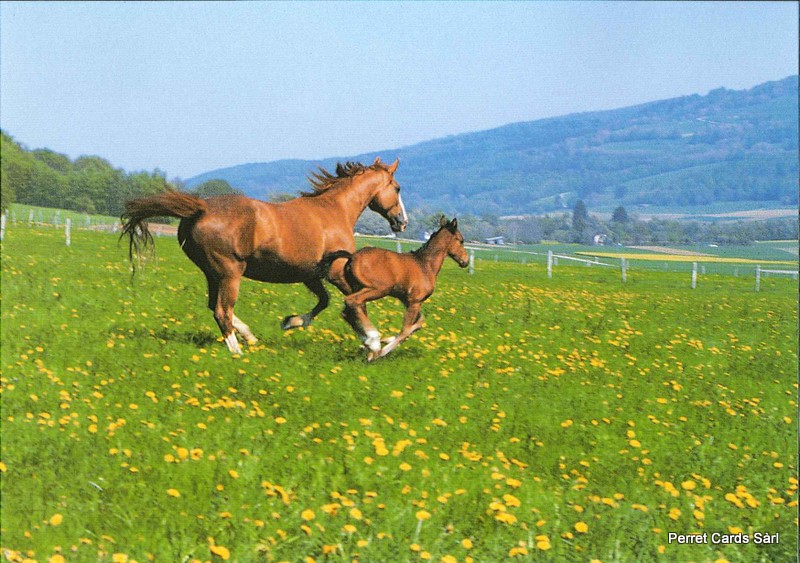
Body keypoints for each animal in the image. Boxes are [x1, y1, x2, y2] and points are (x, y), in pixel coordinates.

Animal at [120, 158, 408, 354]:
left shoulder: (310, 274)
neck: (334, 211)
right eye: (397, 187)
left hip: (212, 274)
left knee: (215, 307)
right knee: (222, 311)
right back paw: (237, 352)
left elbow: (324, 301)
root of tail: (199, 208)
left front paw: (291, 322)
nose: (402, 222)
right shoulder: (335, 271)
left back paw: (249, 337)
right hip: (230, 272)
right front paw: (373, 341)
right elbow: (354, 302)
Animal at [319, 216, 468, 361]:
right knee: (351, 302)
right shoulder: (415, 301)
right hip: (377, 289)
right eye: (461, 240)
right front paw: (381, 352)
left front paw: (379, 344)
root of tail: (352, 257)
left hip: (357, 288)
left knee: (348, 311)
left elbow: (419, 323)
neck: (425, 265)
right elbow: (406, 330)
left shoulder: (408, 301)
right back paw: (374, 342)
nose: (465, 261)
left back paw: (368, 343)